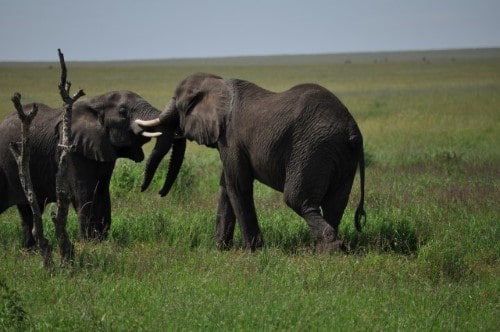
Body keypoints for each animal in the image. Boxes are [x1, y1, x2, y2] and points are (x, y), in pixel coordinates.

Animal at [0, 89, 180, 248]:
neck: (97, 101)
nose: (144, 188)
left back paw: (30, 250)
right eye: (123, 111)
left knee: (27, 211)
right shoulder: (72, 150)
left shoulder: (103, 146)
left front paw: (100, 243)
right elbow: (84, 193)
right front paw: (87, 244)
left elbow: (102, 191)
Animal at [135, 72, 366, 249]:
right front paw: (220, 248)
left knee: (298, 199)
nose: (156, 192)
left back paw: (330, 247)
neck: (218, 83)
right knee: (335, 202)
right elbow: (226, 185)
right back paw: (328, 248)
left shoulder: (231, 138)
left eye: (178, 104)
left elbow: (238, 184)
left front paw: (251, 250)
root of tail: (352, 130)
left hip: (311, 149)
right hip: (338, 154)